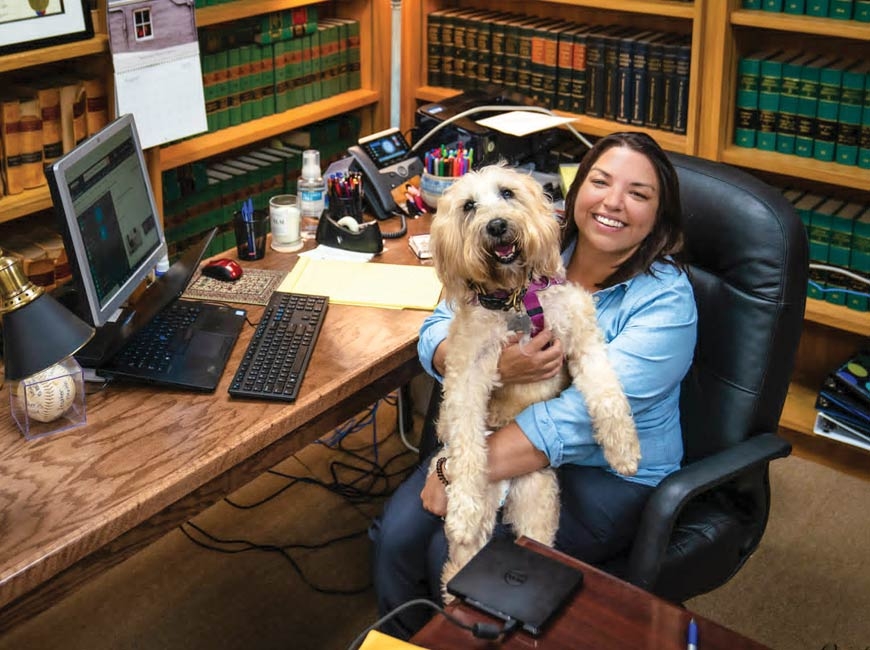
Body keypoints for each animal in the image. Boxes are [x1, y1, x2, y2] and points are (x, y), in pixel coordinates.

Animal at [430, 163, 640, 592]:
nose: (496, 226)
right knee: (459, 557)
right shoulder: (467, 376)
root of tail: (506, 489)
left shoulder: (583, 343)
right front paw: (461, 509)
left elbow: (608, 395)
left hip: (537, 501)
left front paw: (624, 451)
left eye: (507, 193)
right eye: (468, 206)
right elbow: (466, 441)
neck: (516, 297)